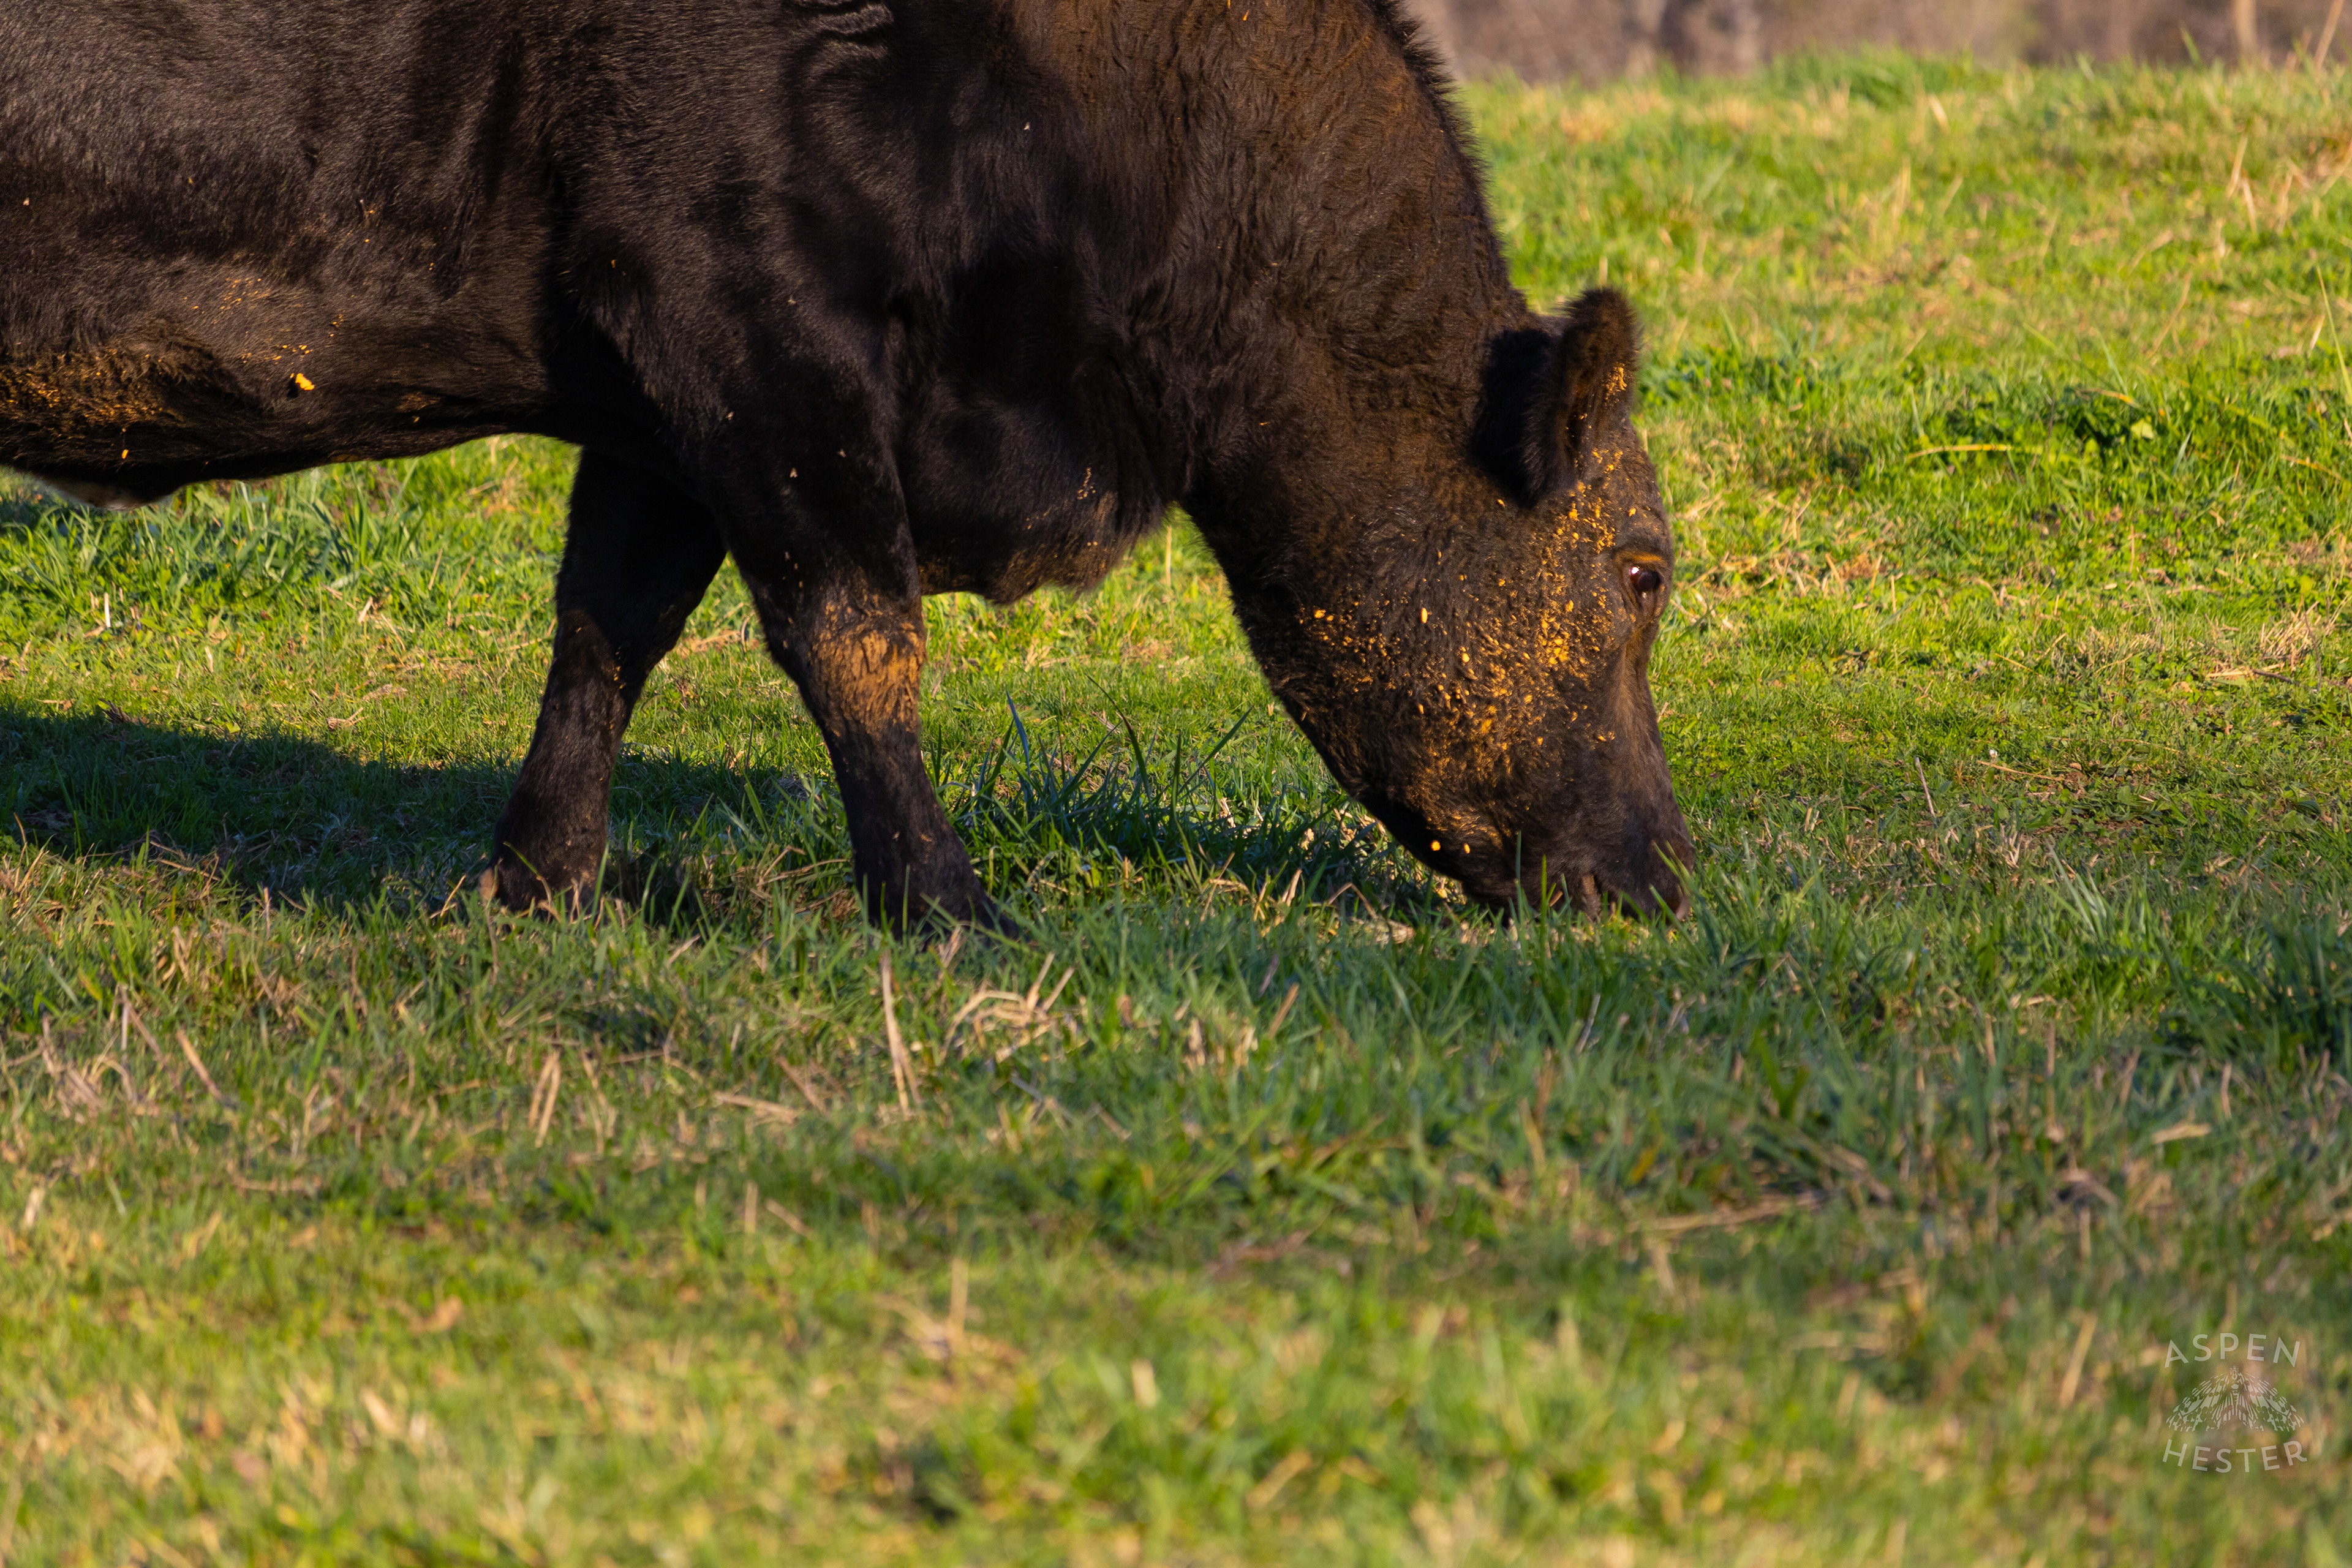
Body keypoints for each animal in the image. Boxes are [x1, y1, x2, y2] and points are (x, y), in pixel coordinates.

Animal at [0, 0, 1692, 928]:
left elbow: (607, 628)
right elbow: (856, 633)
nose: (1670, 873)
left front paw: (535, 884)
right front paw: (944, 906)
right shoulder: (743, 316)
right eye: (1642, 568)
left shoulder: (653, 404)